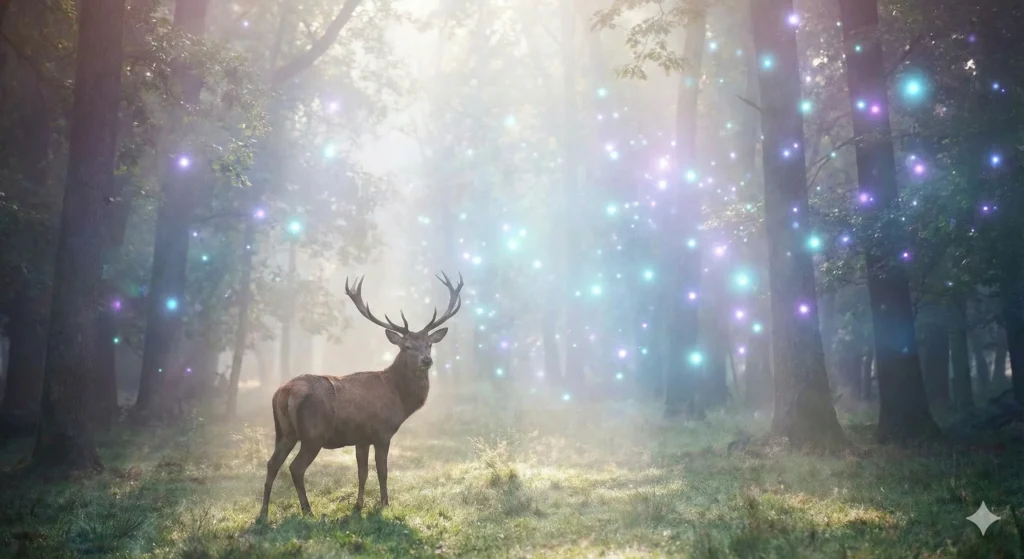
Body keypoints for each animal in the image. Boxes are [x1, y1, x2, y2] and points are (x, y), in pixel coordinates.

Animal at [258, 271, 463, 519]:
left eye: (429, 344)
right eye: (407, 346)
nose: (427, 360)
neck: (399, 398)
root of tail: (285, 391)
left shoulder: (361, 438)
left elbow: (362, 472)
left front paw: (358, 506)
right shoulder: (382, 432)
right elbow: (382, 471)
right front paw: (385, 504)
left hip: (284, 431)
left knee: (272, 463)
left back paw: (263, 513)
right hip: (313, 433)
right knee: (295, 468)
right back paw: (308, 511)